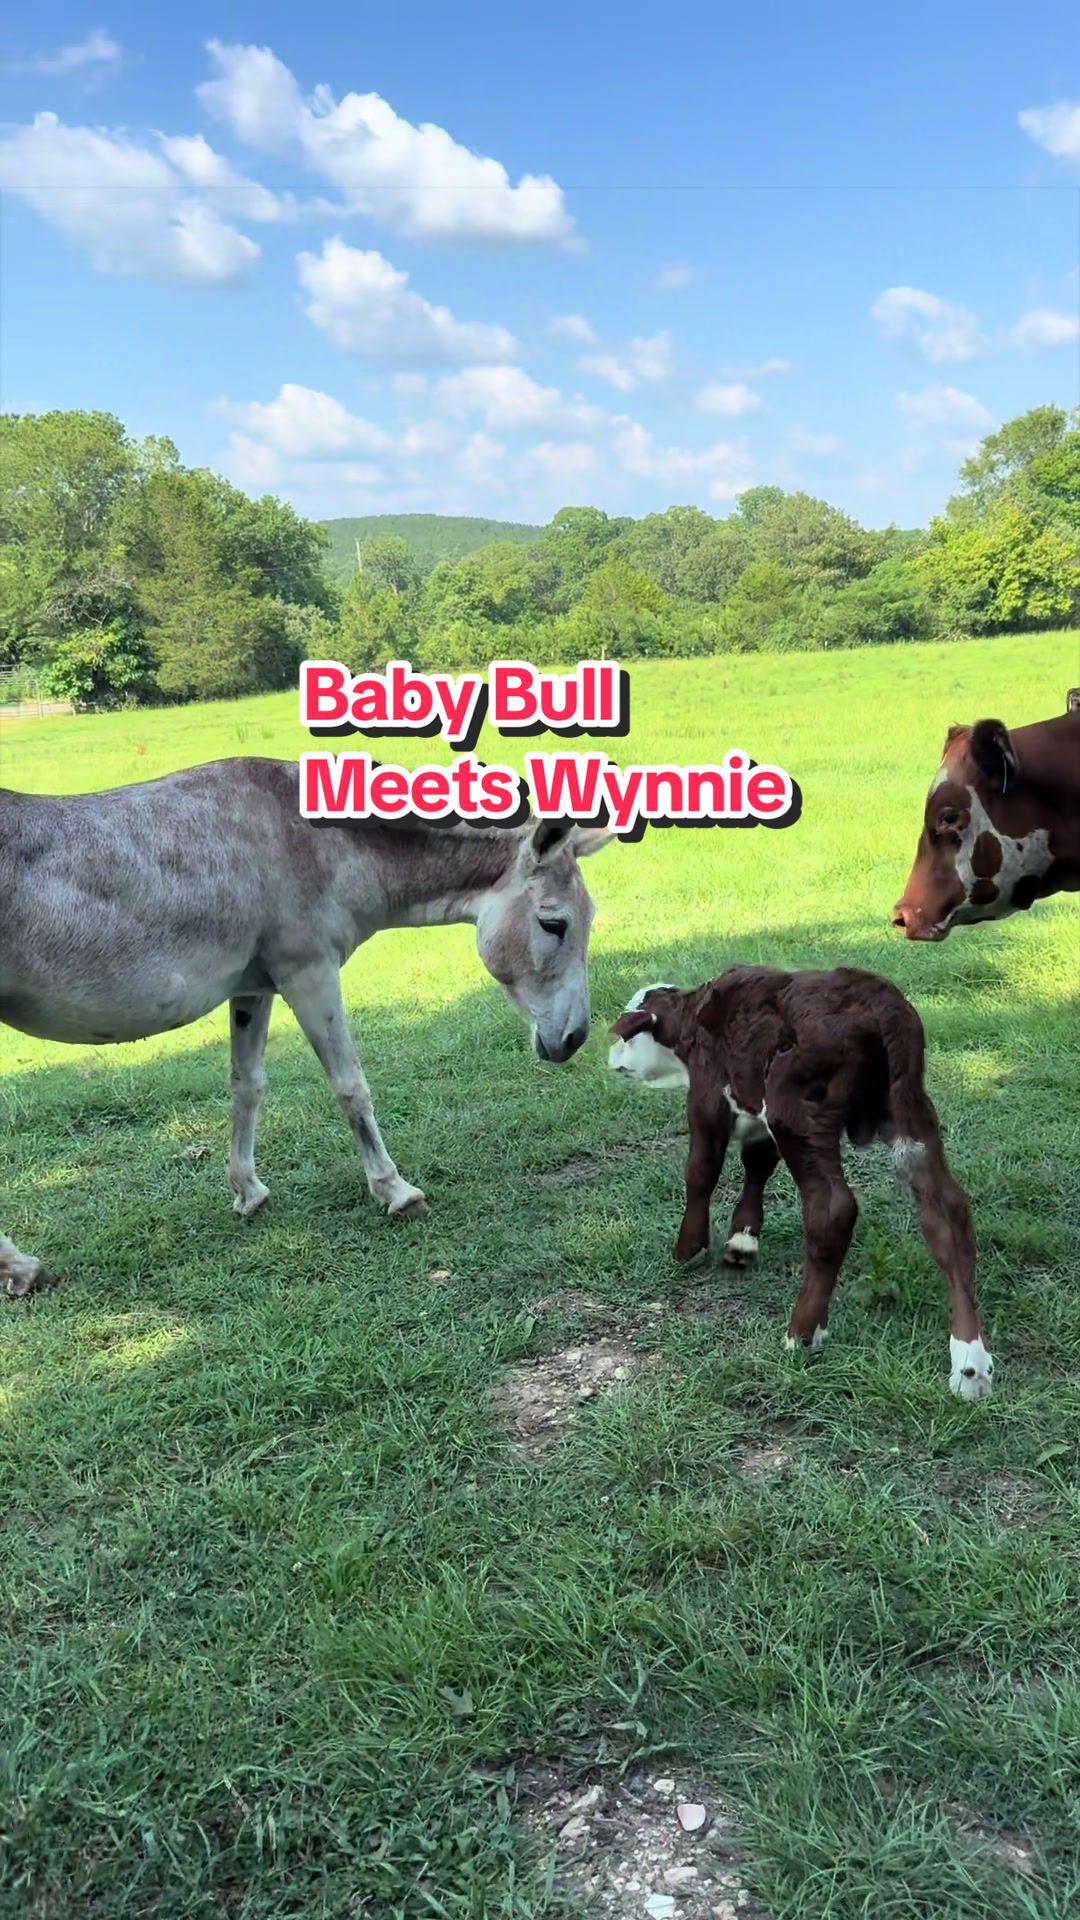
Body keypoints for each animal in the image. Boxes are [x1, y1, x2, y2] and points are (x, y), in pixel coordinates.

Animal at [0, 757, 613, 1296]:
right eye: (554, 924)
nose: (574, 1039)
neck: (312, 840)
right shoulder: (309, 974)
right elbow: (350, 1087)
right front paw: (395, 1192)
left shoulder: (252, 988)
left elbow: (247, 1087)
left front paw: (248, 1192)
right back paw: (22, 1268)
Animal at [608, 967, 993, 1400]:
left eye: (625, 1033)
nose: (612, 1059)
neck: (693, 1021)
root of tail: (878, 999)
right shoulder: (754, 1110)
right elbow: (758, 1163)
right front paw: (742, 1242)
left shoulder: (707, 1099)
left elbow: (701, 1170)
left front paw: (688, 1249)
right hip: (911, 1114)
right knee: (947, 1211)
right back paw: (970, 1364)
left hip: (798, 1116)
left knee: (833, 1209)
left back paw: (802, 1333)